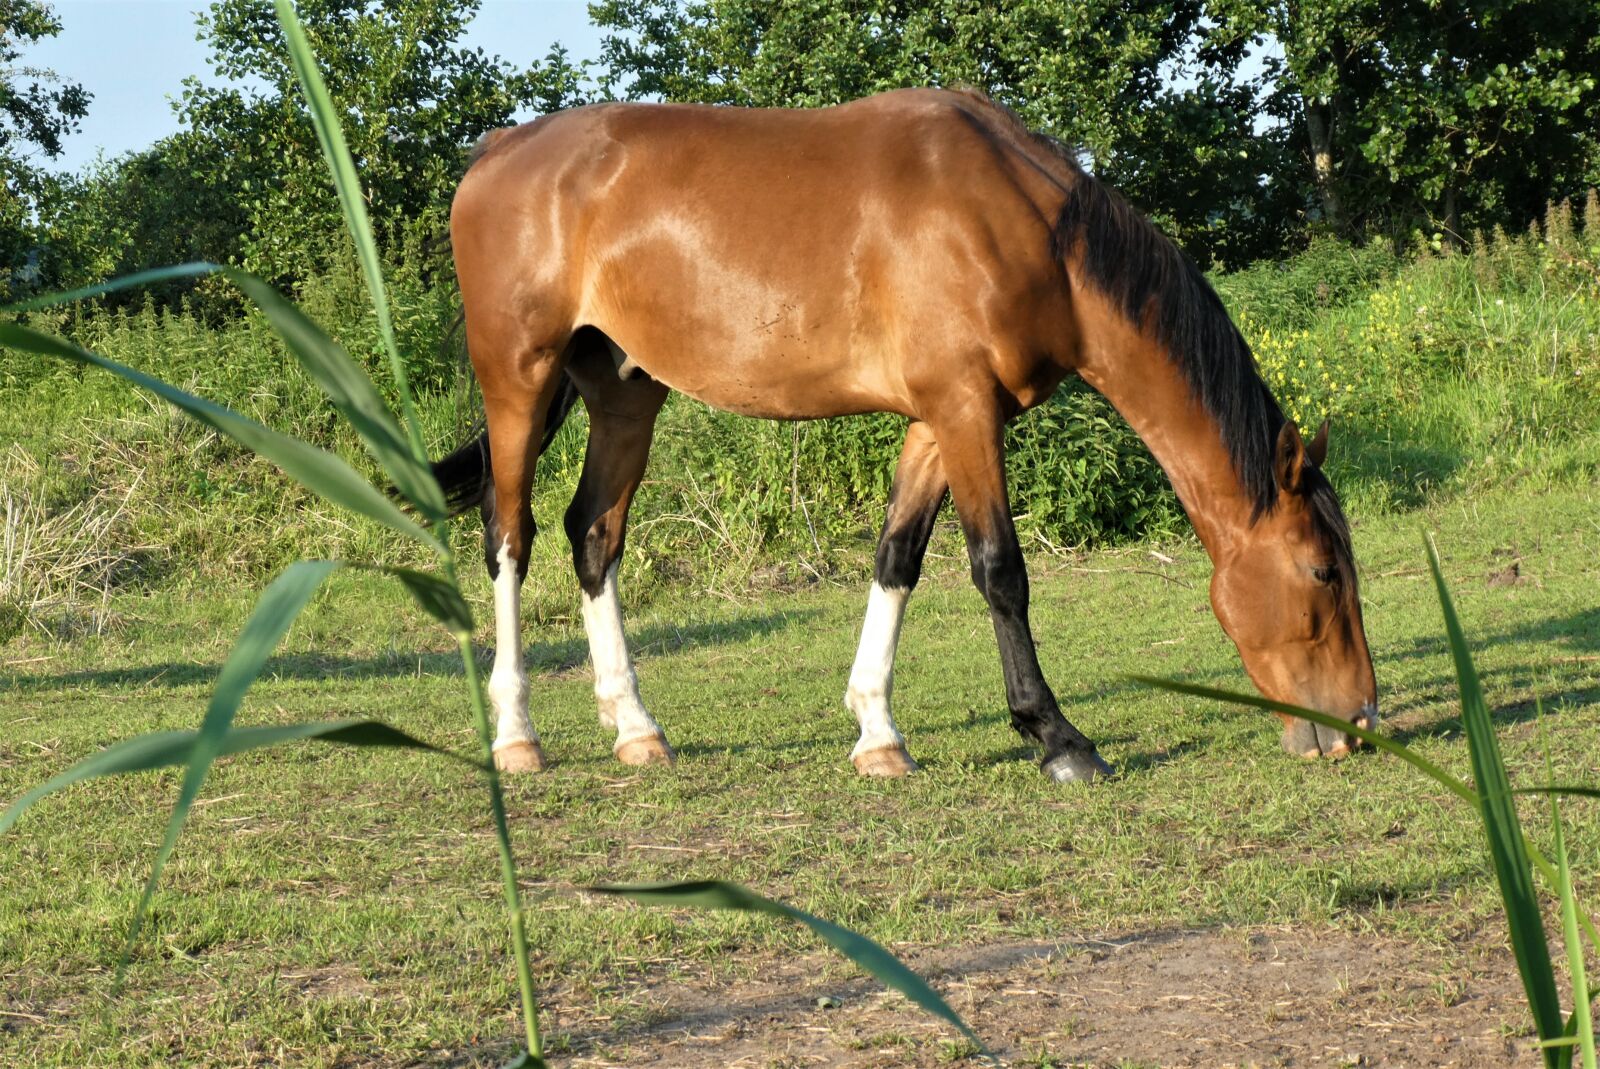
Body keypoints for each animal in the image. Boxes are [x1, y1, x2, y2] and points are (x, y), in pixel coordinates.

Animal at [429, 86, 1379, 783]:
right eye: (1322, 572)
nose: (1359, 724)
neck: (1026, 227)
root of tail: (499, 149)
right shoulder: (965, 411)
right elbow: (1000, 572)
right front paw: (1058, 738)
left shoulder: (939, 418)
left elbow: (898, 561)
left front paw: (878, 733)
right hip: (518, 380)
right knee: (508, 537)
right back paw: (516, 736)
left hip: (626, 392)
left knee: (593, 534)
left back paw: (636, 726)